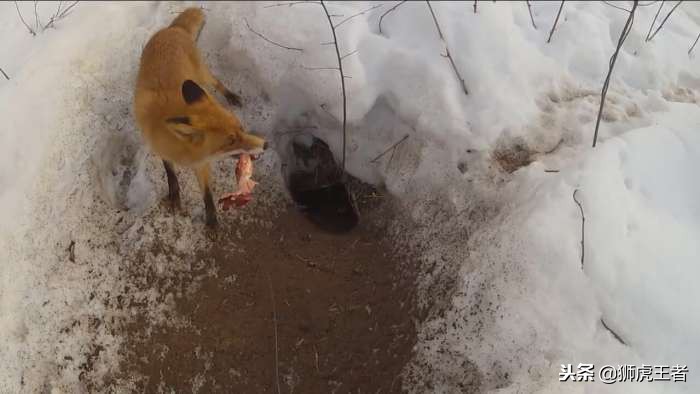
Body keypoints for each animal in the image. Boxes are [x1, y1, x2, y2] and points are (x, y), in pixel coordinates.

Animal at [135, 7, 268, 226]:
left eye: (241, 127)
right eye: (230, 142)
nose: (266, 144)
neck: (184, 153)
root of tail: (173, 29)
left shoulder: (201, 164)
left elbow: (207, 194)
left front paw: (212, 221)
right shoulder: (159, 147)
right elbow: (170, 173)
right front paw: (175, 195)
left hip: (201, 76)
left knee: (216, 82)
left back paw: (231, 96)